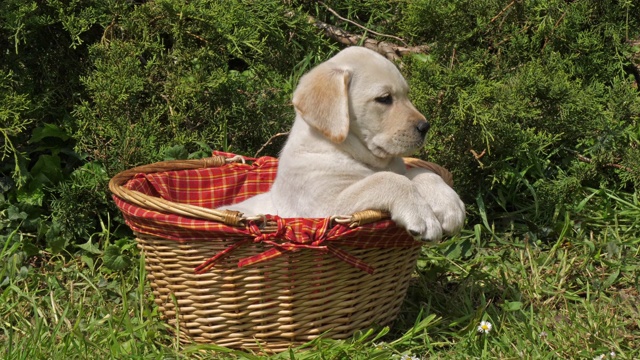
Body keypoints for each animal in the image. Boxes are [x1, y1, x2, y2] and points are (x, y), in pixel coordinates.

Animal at [225, 45, 464, 242]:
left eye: (407, 94)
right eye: (384, 98)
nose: (425, 127)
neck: (342, 150)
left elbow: (419, 172)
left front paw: (449, 203)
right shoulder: (327, 209)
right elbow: (386, 180)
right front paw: (422, 215)